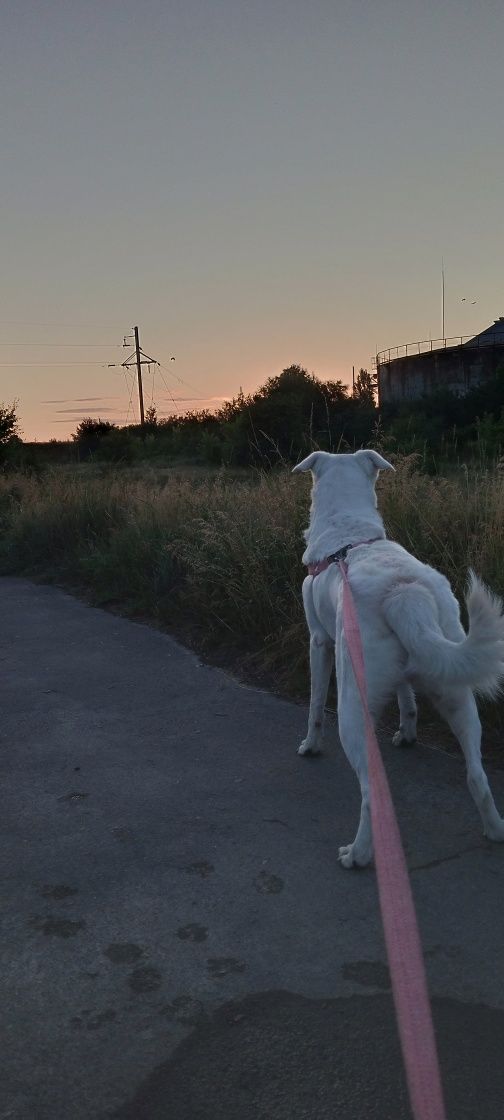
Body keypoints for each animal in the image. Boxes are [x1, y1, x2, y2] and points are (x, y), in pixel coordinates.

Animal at [293, 450, 504, 869]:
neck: (349, 533)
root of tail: (406, 595)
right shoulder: (406, 676)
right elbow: (408, 698)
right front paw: (407, 733)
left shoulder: (318, 642)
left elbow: (313, 705)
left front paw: (310, 746)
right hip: (456, 690)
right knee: (477, 775)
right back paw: (495, 829)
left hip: (353, 705)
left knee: (371, 791)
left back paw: (357, 854)